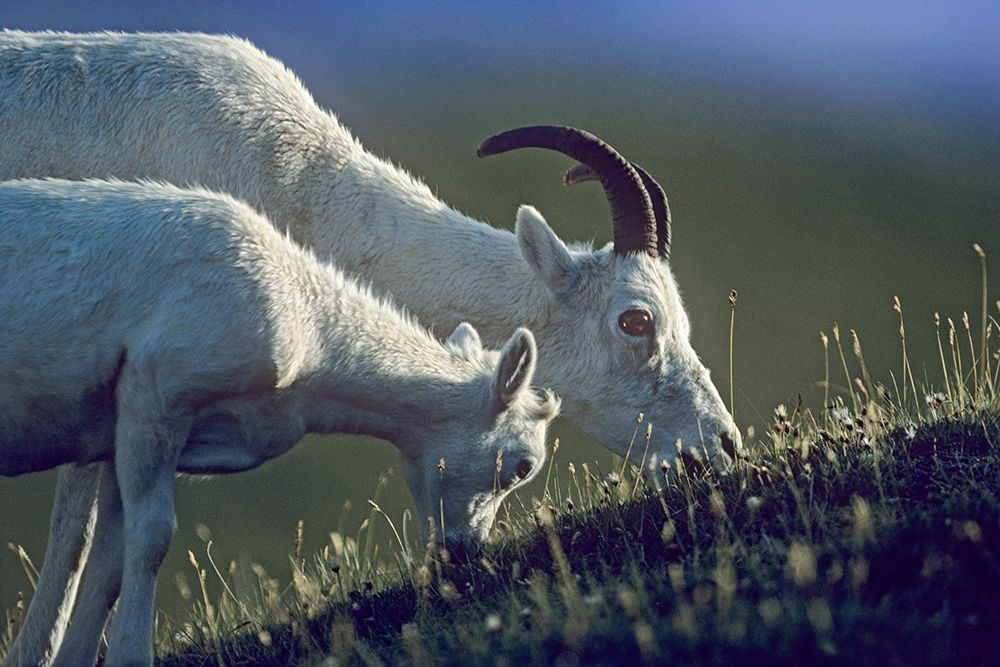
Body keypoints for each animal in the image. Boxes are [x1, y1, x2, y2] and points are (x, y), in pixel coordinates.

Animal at [0, 178, 557, 666]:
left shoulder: (123, 430)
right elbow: (152, 539)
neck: (308, 343)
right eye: (523, 466)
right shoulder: (155, 394)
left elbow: (108, 562)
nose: (464, 555)